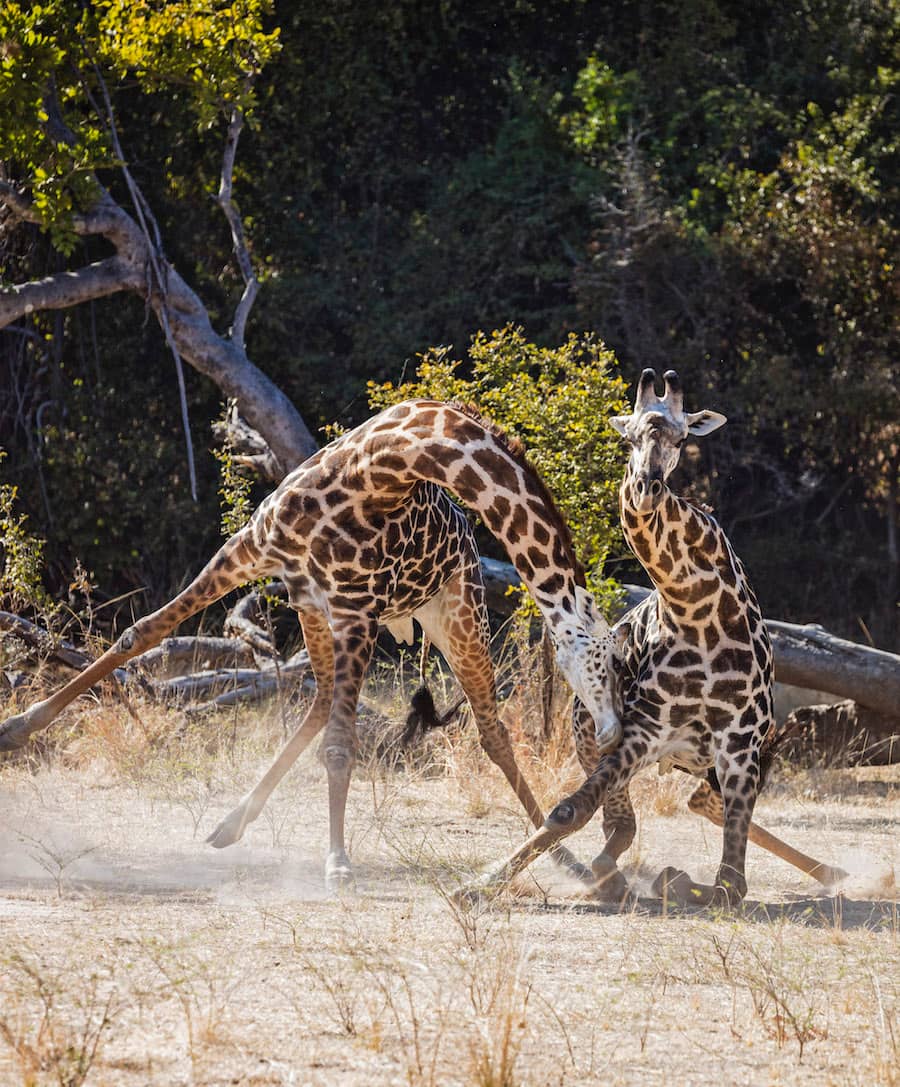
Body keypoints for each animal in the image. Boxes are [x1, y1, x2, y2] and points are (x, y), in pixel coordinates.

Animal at [0, 400, 626, 891]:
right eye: (604, 660)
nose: (612, 731)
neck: (379, 470)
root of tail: (471, 547)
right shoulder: (248, 552)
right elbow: (141, 632)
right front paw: (15, 729)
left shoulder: (356, 612)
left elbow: (342, 747)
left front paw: (338, 863)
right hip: (312, 612)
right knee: (322, 698)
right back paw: (230, 824)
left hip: (456, 615)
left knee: (490, 731)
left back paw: (570, 863)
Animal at [460, 373, 847, 908]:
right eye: (629, 437)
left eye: (682, 439)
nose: (647, 486)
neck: (697, 611)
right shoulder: (645, 731)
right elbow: (569, 811)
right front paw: (480, 883)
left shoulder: (740, 742)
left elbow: (731, 884)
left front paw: (688, 882)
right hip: (596, 728)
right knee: (631, 821)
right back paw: (615, 875)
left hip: (720, 756)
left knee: (702, 804)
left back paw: (832, 872)